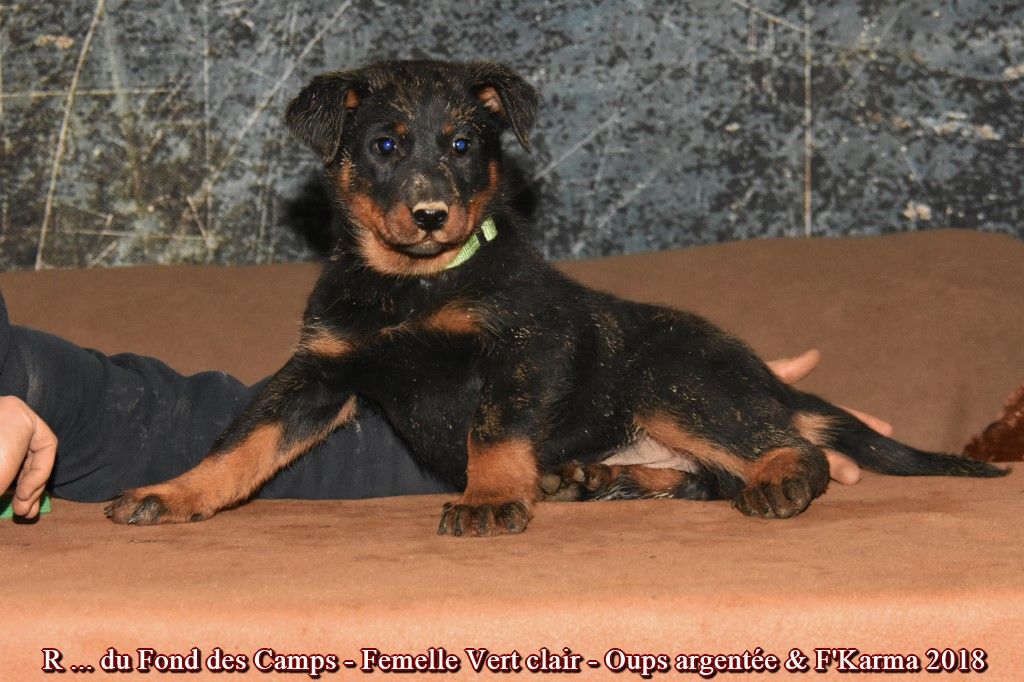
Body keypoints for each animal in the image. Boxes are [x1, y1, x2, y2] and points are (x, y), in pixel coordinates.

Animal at [105, 60, 1005, 536]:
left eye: (462, 145)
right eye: (385, 146)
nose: (430, 214)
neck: (413, 284)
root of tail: (764, 377)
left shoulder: (520, 346)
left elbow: (493, 430)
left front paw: (493, 498)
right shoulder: (318, 372)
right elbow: (240, 445)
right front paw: (170, 495)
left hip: (670, 378)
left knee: (778, 448)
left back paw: (774, 482)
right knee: (704, 475)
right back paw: (596, 479)